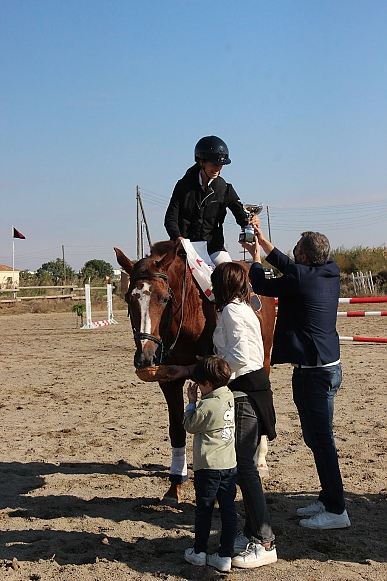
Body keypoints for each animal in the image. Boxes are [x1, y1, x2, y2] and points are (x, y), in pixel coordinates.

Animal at [114, 240, 276, 502]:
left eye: (164, 299)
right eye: (130, 298)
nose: (145, 357)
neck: (189, 314)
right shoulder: (169, 381)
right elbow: (177, 429)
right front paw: (175, 486)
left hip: (265, 359)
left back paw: (260, 463)